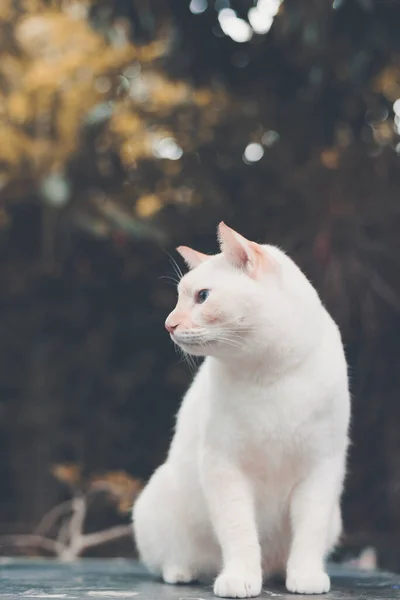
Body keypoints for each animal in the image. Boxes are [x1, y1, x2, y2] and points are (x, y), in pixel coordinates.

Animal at [132, 223, 350, 596]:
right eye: (178, 298)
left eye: (202, 297)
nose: (168, 324)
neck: (271, 374)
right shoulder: (223, 467)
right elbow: (239, 532)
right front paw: (239, 578)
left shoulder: (322, 467)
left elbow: (309, 531)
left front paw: (305, 576)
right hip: (157, 501)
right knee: (174, 560)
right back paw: (185, 572)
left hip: (335, 515)